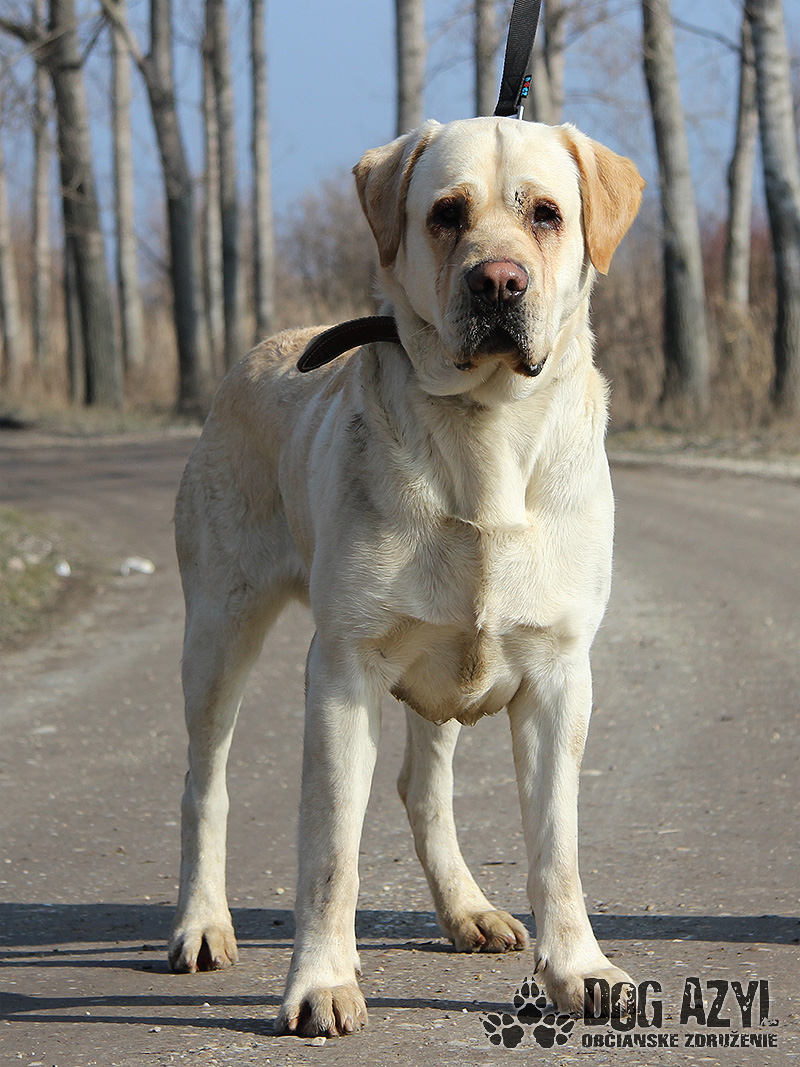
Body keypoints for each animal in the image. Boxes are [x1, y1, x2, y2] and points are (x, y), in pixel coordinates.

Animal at [168, 116, 644, 1037]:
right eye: (446, 213)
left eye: (546, 214)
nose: (499, 282)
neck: (487, 432)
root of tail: (261, 349)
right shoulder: (343, 670)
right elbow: (330, 852)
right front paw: (321, 981)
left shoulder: (561, 673)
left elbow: (558, 847)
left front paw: (577, 968)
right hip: (217, 629)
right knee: (205, 781)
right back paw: (201, 922)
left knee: (422, 787)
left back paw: (467, 909)